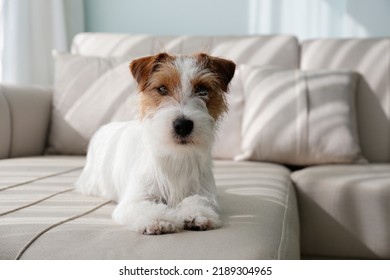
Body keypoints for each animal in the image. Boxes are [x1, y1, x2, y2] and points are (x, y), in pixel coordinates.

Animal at [75, 52, 235, 234]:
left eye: (202, 89)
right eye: (162, 89)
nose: (183, 125)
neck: (175, 156)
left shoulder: (204, 193)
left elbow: (198, 201)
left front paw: (197, 214)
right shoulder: (135, 200)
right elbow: (147, 208)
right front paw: (158, 220)